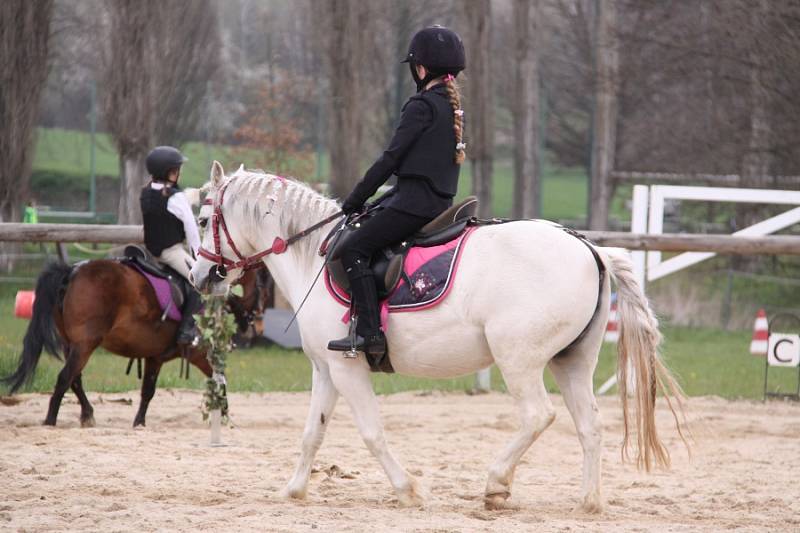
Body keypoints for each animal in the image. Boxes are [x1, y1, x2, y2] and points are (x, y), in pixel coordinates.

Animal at [1, 260, 272, 426]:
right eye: (263, 287)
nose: (258, 328)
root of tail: (72, 271)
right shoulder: (198, 354)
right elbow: (219, 382)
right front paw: (225, 416)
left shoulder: (155, 357)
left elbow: (148, 390)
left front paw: (139, 422)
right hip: (84, 345)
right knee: (65, 378)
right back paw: (51, 420)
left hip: (73, 345)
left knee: (74, 379)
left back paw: (87, 415)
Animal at [191, 162, 684, 512]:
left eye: (201, 219)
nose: (199, 276)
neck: (313, 253)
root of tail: (589, 247)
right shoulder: (326, 369)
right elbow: (313, 432)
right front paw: (293, 490)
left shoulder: (347, 367)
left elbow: (371, 432)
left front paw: (407, 490)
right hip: (573, 362)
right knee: (590, 426)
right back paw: (589, 501)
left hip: (519, 359)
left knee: (537, 416)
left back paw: (496, 484)